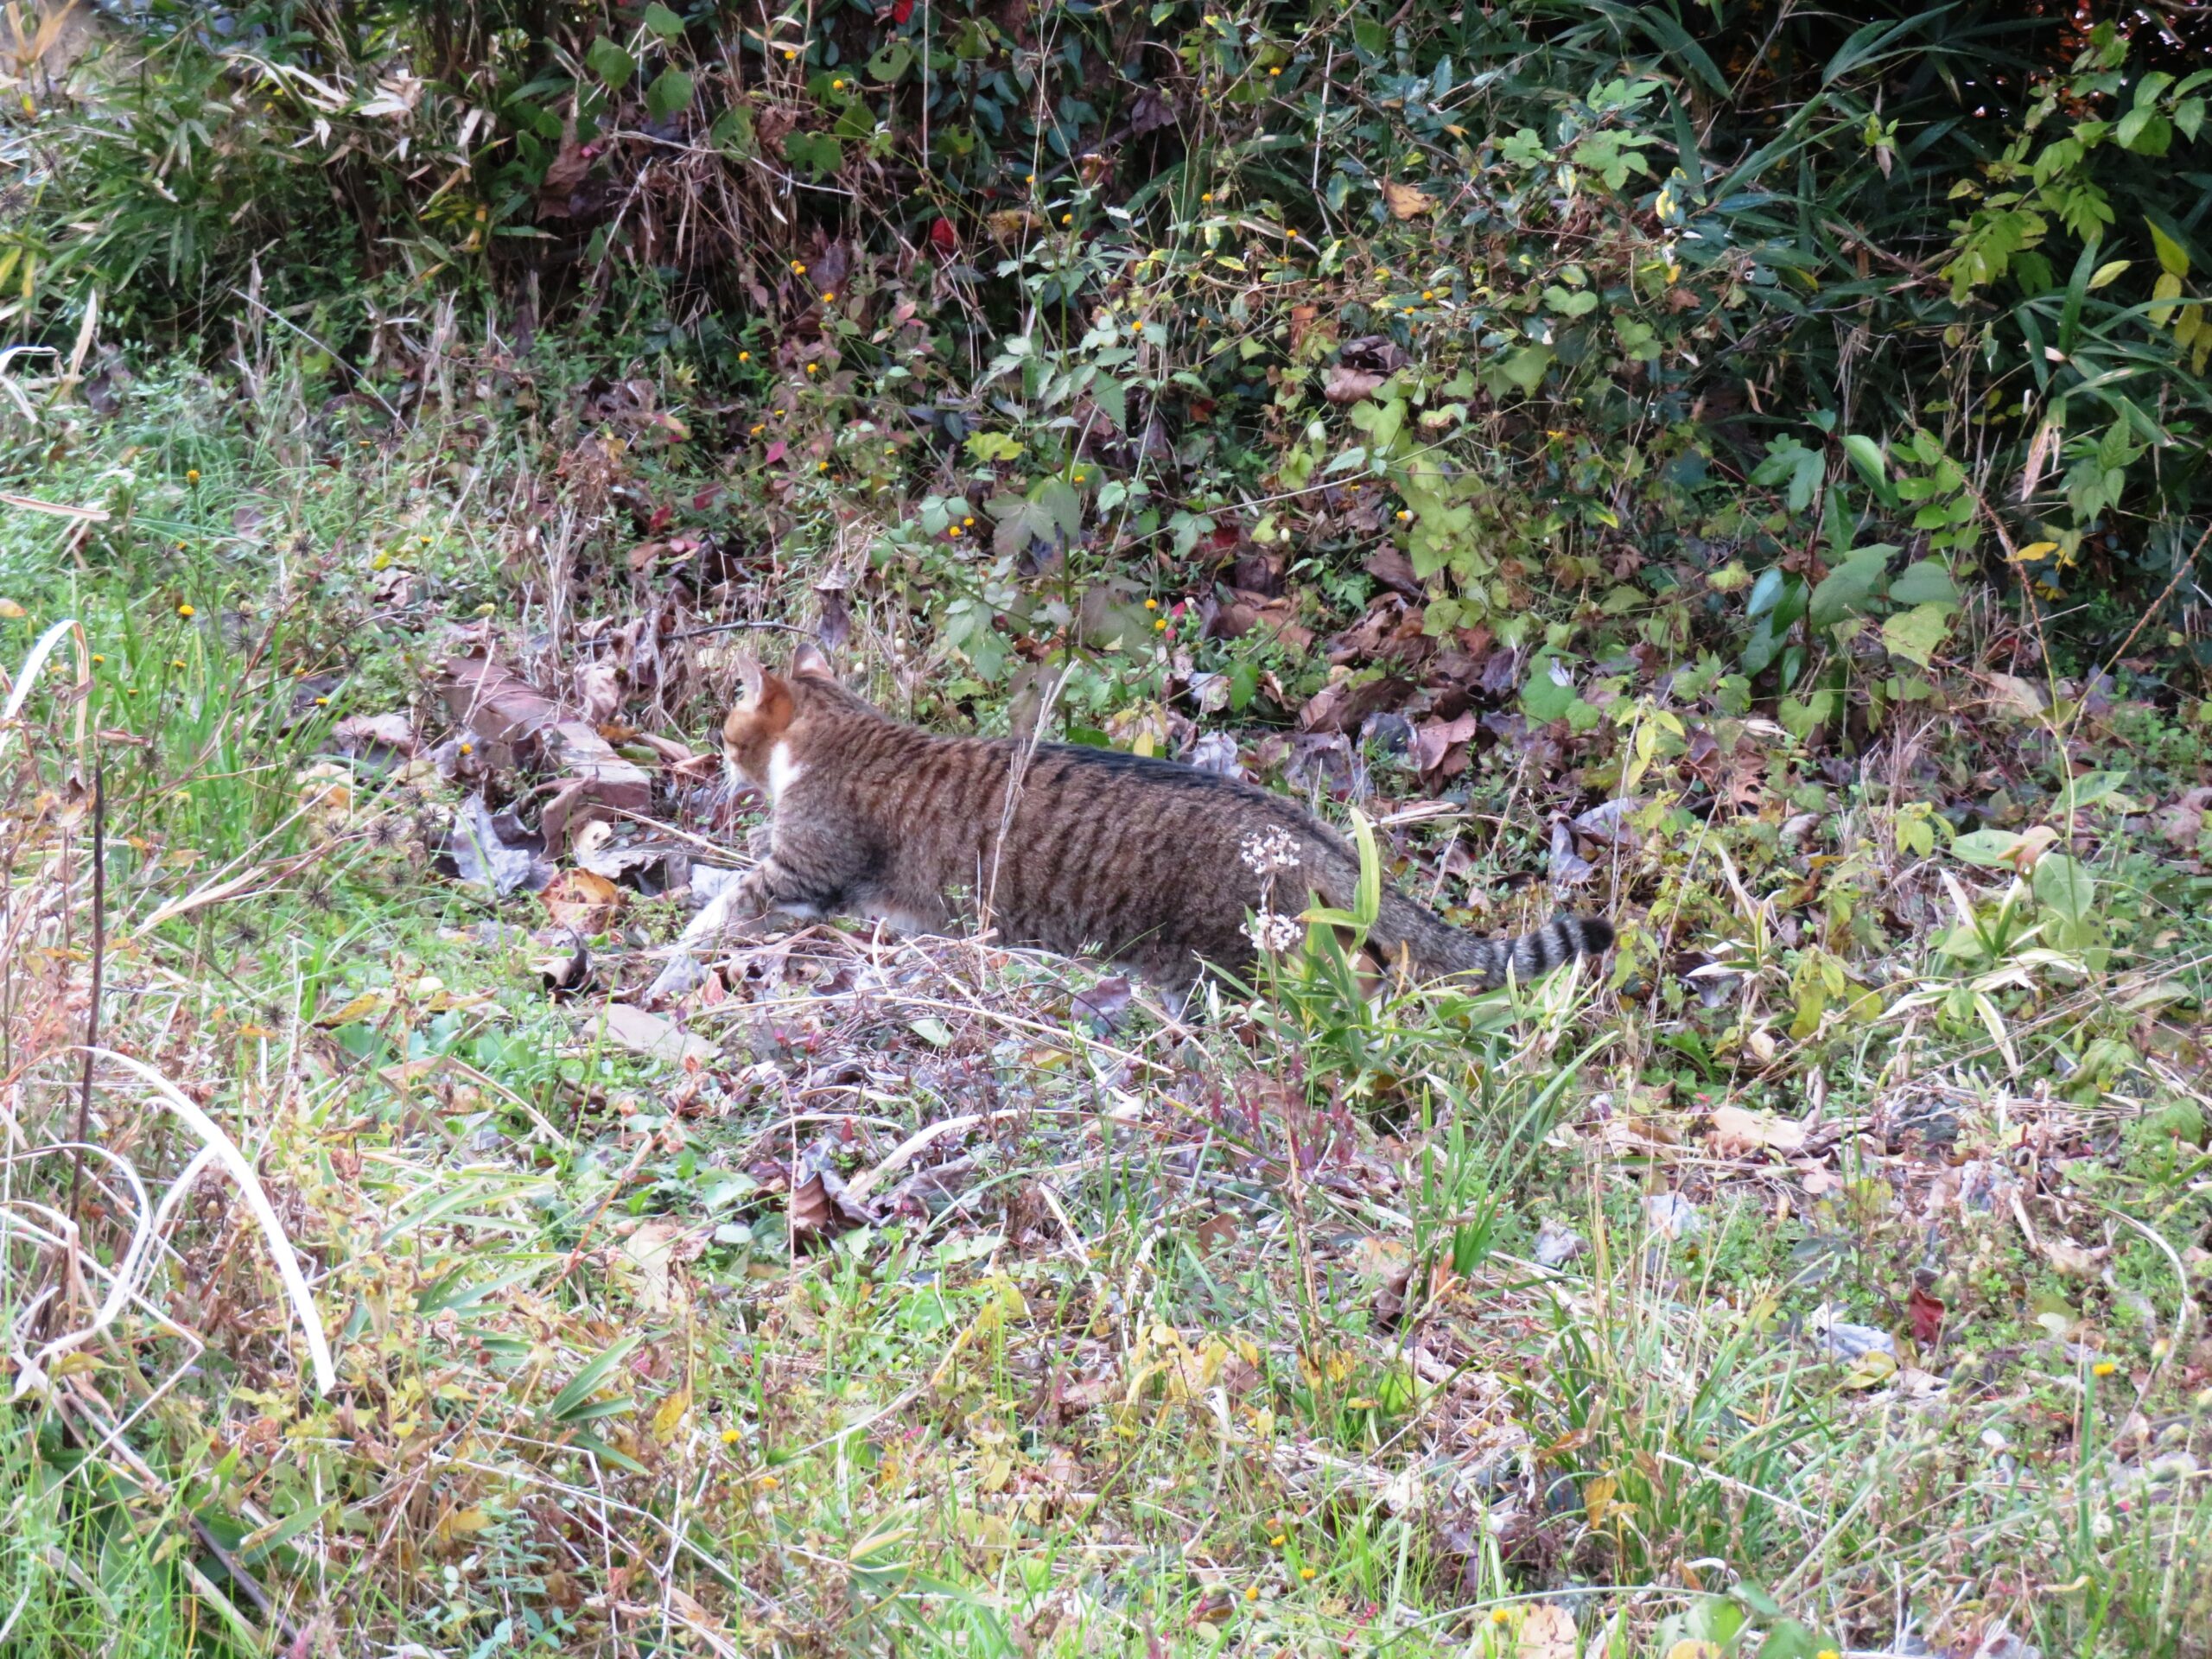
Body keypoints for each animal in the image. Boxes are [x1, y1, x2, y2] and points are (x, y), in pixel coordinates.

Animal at [645, 654, 1618, 1000]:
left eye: (727, 732)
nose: (713, 761)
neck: (841, 731)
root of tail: (1298, 823)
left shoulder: (807, 870)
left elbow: (729, 900)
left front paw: (674, 952)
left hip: (1228, 951)